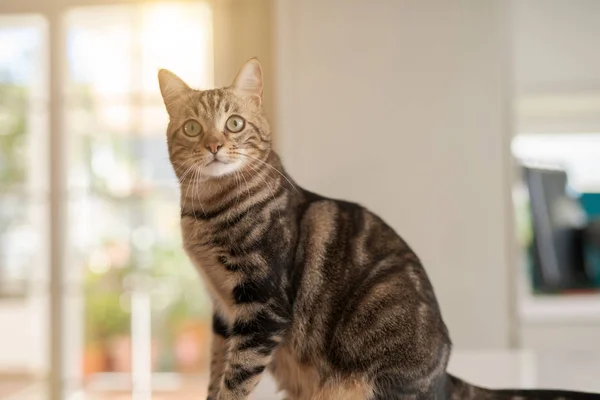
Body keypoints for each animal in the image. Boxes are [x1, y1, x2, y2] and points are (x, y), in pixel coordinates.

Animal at [156, 57, 600, 398]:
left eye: (234, 124)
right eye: (193, 128)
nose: (214, 146)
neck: (206, 213)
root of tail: (445, 376)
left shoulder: (262, 305)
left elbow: (236, 378)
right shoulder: (222, 312)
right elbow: (217, 372)